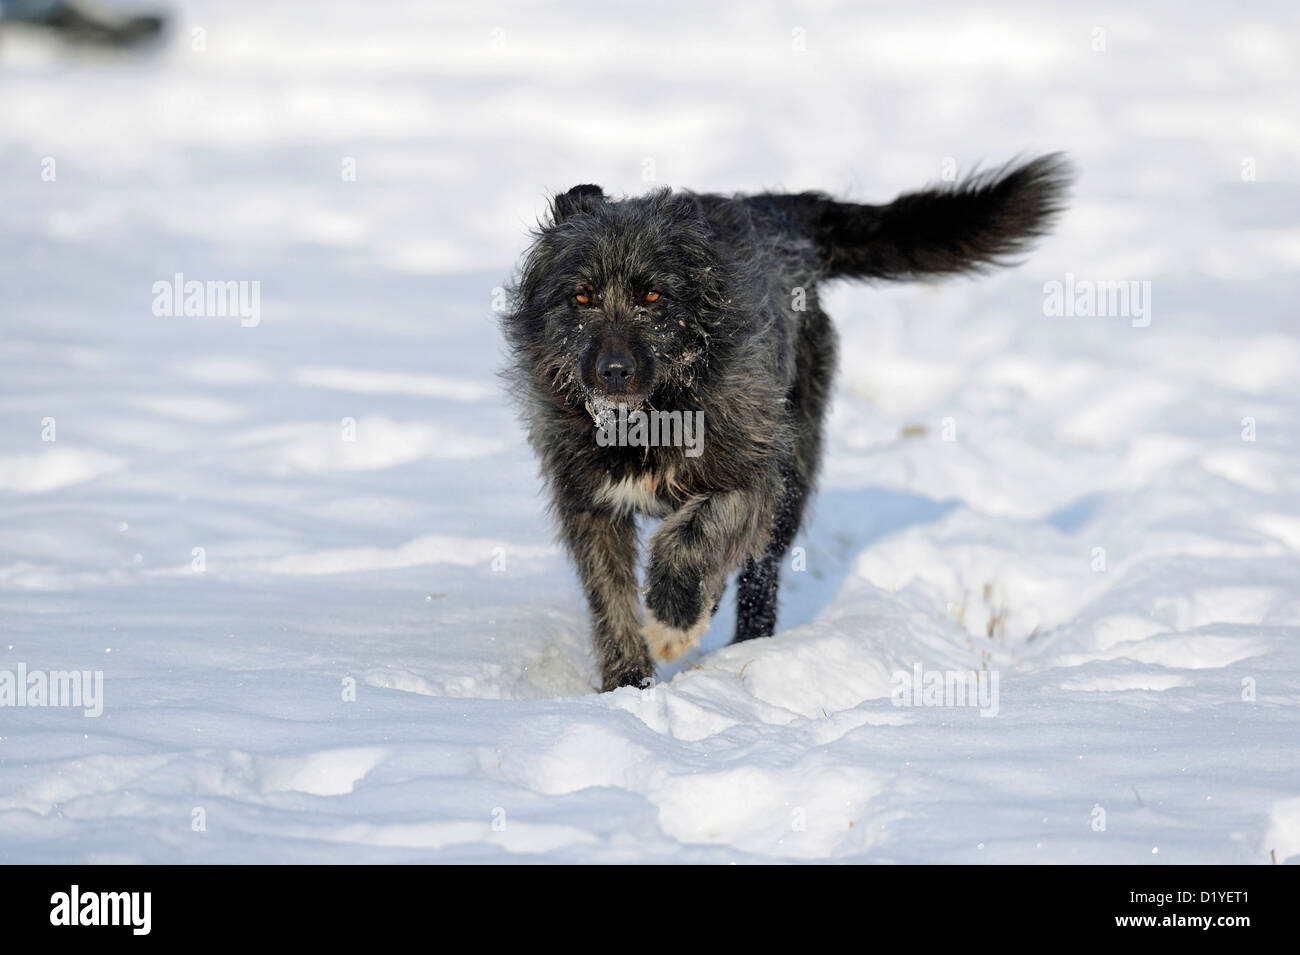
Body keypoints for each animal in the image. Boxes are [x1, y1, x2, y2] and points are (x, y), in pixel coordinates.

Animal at [501, 158, 1071, 696]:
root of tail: (771, 208)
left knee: (760, 567)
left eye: (653, 297)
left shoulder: (752, 476)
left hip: (792, 473)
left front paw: (672, 622)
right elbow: (610, 596)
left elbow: (691, 537)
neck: (653, 412)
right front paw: (626, 684)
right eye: (582, 296)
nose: (613, 371)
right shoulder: (590, 504)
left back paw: (745, 642)